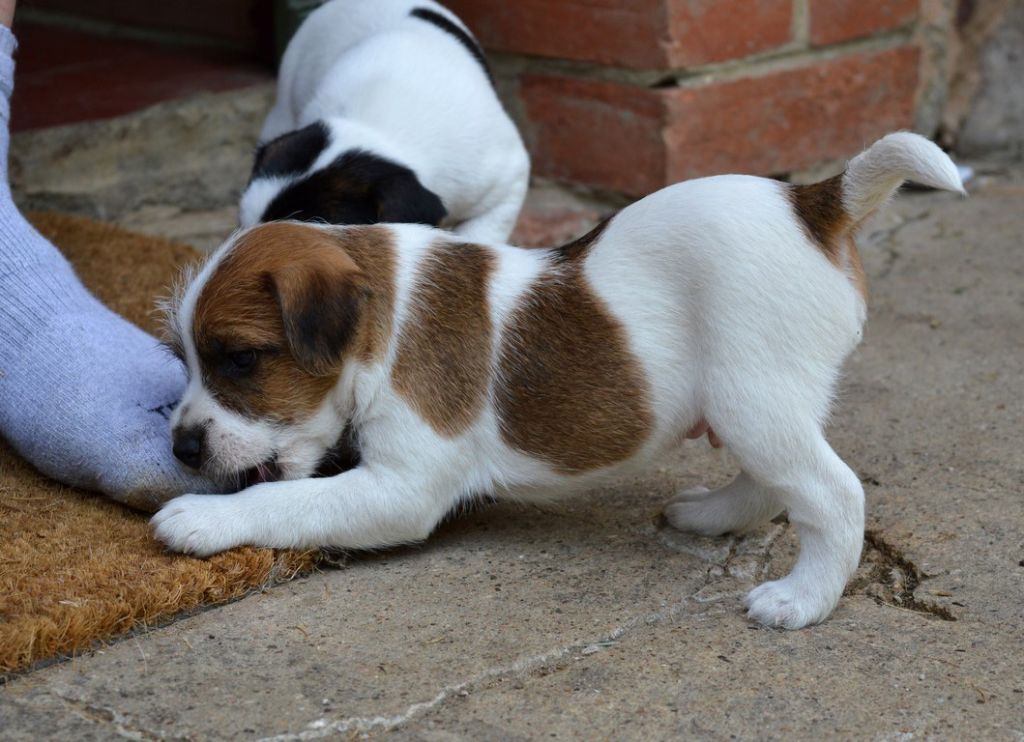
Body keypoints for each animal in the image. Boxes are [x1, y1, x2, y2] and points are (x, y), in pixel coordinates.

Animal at [156, 133, 963, 629]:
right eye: (188, 356)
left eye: (239, 359)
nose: (181, 449)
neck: (382, 317)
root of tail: (813, 202)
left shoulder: (400, 489)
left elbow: (287, 499)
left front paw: (201, 518)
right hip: (759, 402)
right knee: (775, 482)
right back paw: (711, 516)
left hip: (752, 396)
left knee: (832, 492)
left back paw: (801, 599)